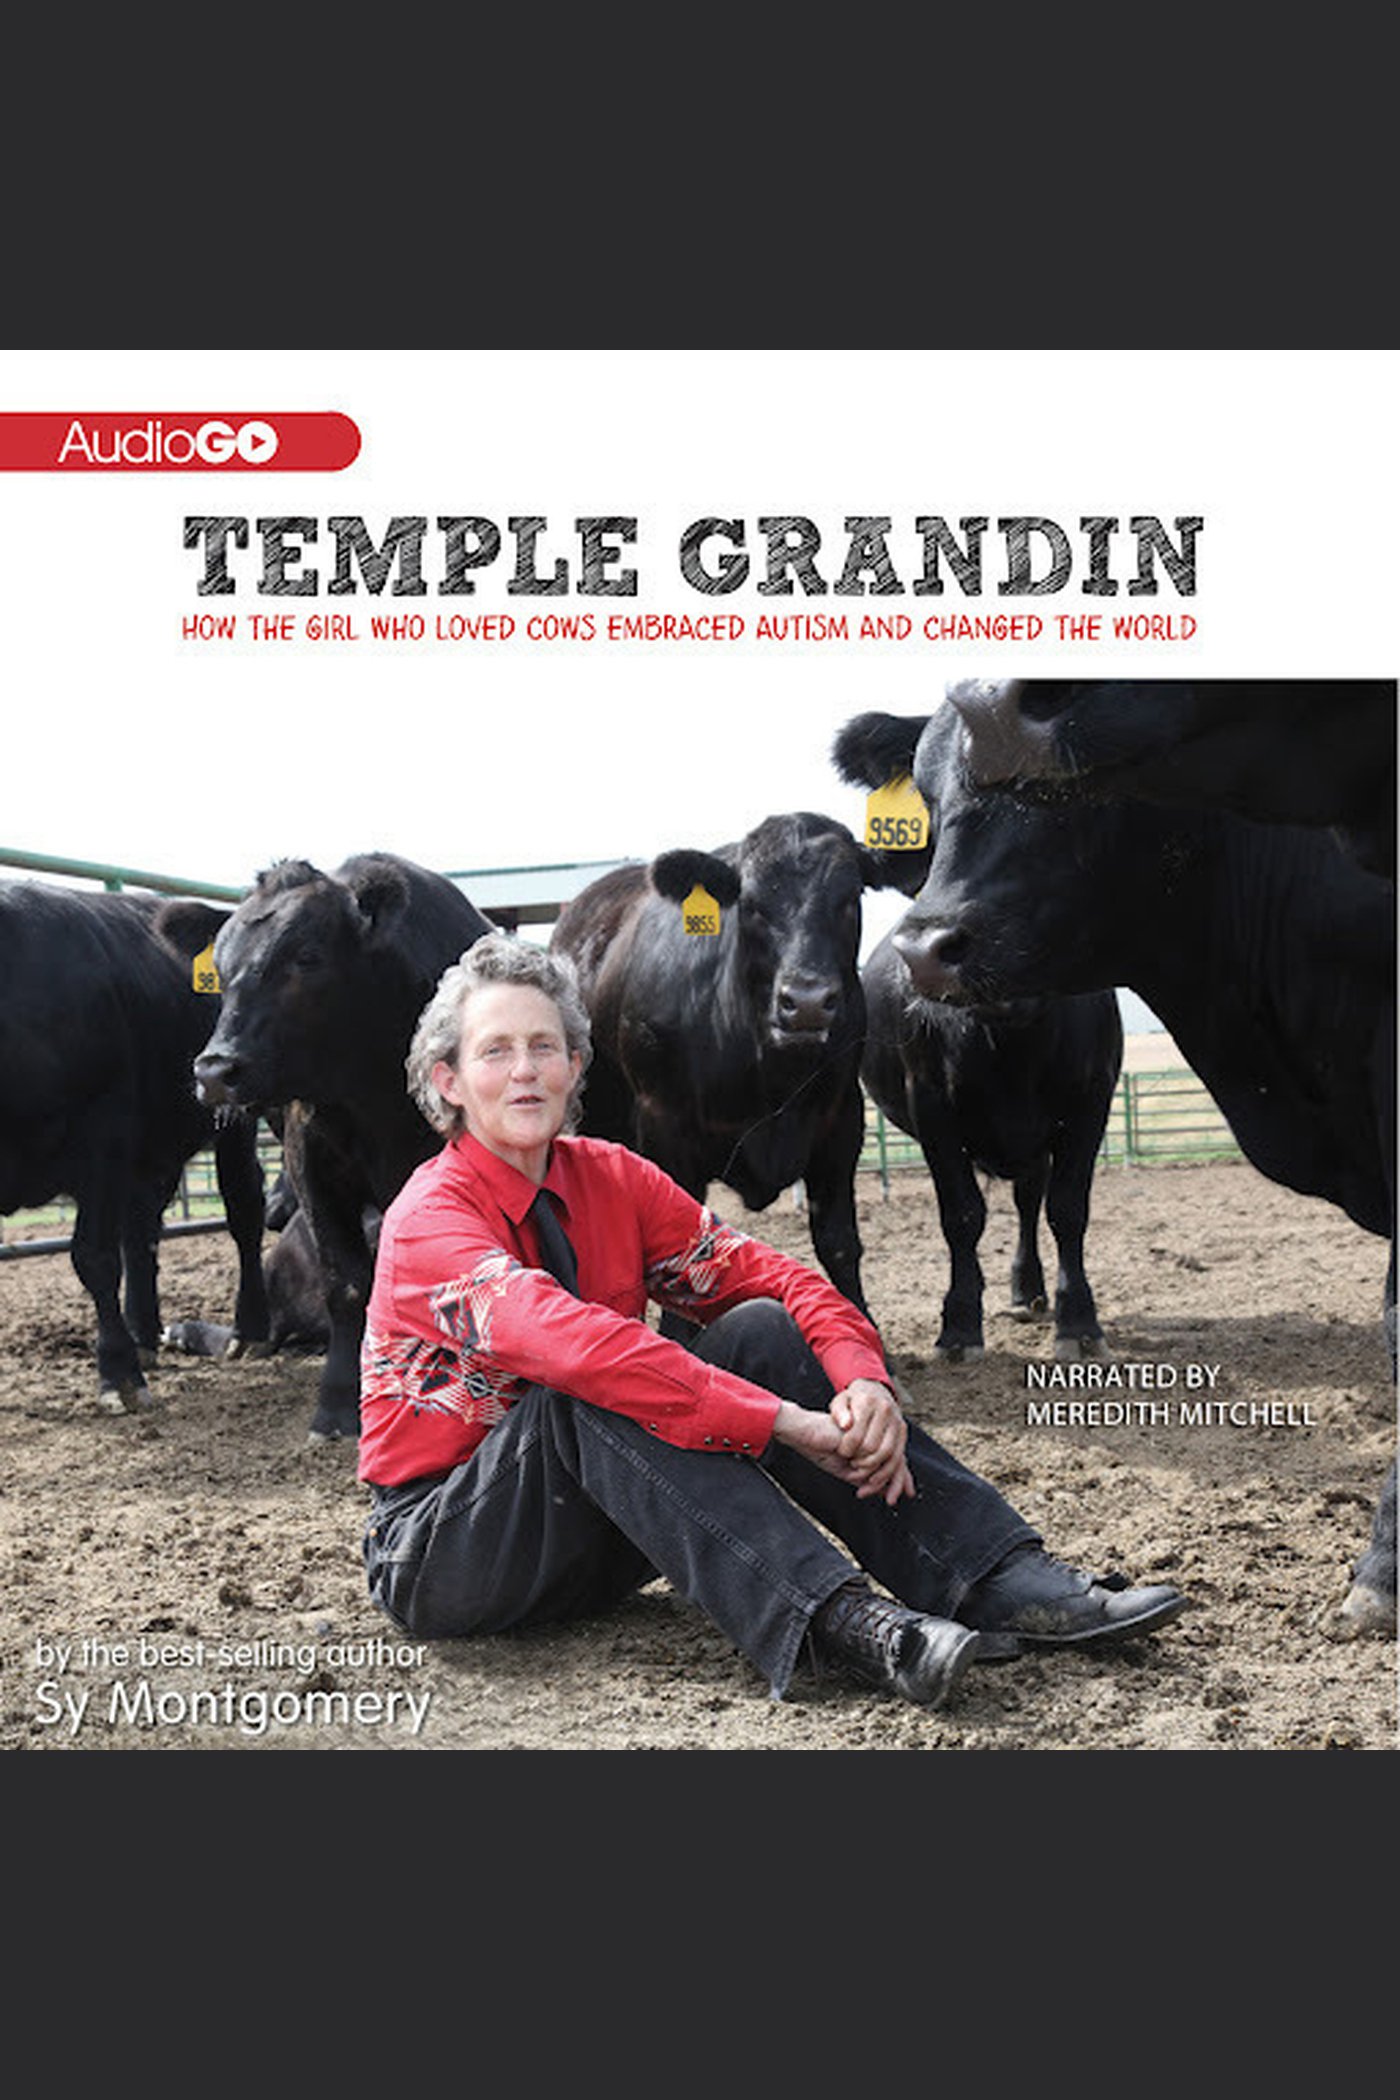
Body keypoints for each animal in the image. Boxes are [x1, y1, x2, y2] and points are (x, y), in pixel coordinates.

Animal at [0, 881, 270, 1412]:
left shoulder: (103, 1131)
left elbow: (95, 1257)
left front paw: (119, 1374)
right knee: (142, 1231)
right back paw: (144, 1336)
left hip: (232, 1118)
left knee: (244, 1211)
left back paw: (247, 1331)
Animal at [159, 853, 494, 1443]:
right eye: (218, 969)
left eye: (307, 957)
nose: (216, 1070)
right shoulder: (311, 1167)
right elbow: (349, 1286)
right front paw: (338, 1406)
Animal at [550, 812, 906, 1324]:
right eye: (752, 904)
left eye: (849, 897)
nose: (808, 1002)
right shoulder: (666, 1128)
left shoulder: (842, 1121)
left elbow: (838, 1242)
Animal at [861, 921, 1122, 1361]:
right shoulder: (931, 1106)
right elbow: (963, 1216)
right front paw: (960, 1327)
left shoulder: (1092, 1098)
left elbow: (1067, 1210)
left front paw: (1080, 1324)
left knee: (1029, 1202)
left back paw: (1028, 1292)